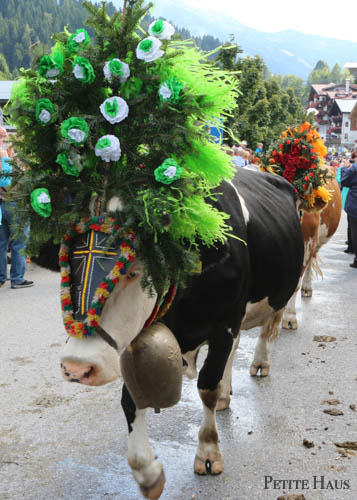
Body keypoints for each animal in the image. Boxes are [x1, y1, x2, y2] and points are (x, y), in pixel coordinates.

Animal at [56, 169, 304, 500]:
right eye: (70, 263)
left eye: (133, 270)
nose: (77, 366)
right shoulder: (138, 339)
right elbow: (130, 400)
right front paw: (147, 472)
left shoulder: (224, 325)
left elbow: (207, 387)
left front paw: (208, 453)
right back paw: (227, 393)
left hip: (281, 291)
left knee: (265, 332)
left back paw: (260, 363)